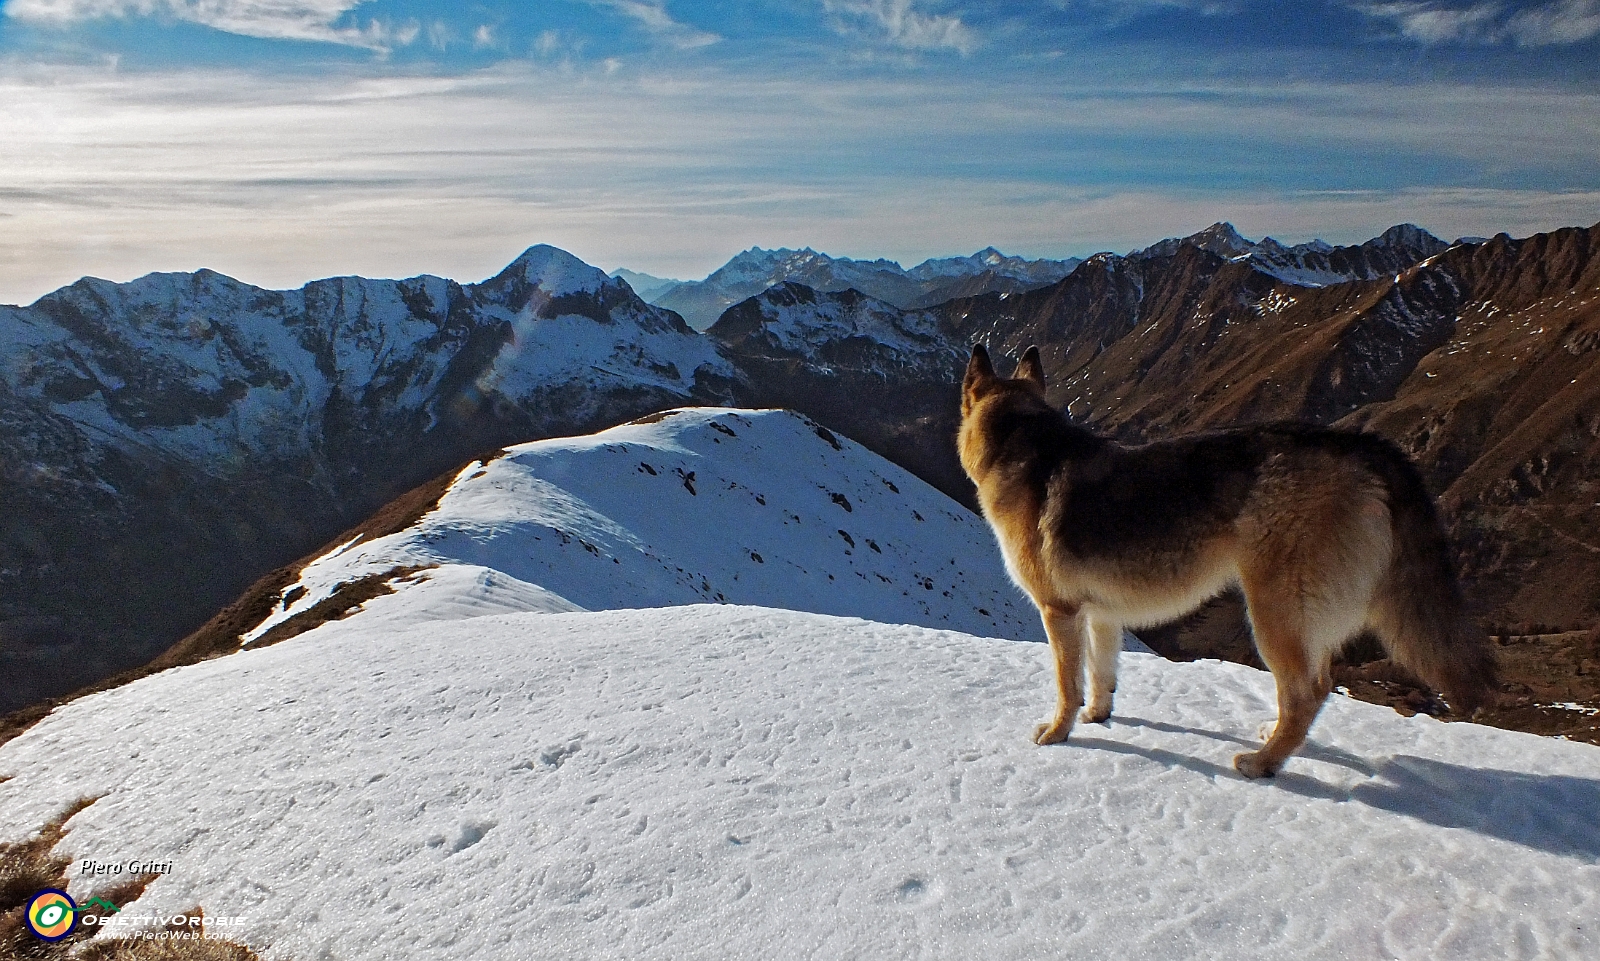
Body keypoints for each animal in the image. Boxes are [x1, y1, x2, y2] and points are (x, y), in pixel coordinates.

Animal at [960, 340, 1497, 777]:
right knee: (1320, 683)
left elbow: (1066, 684)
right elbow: (1100, 674)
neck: (1025, 447)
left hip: (1273, 613)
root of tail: (1361, 444)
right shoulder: (1101, 615)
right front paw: (1098, 716)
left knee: (1305, 693)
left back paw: (1262, 764)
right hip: (1307, 616)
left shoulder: (1059, 612)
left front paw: (1058, 733)